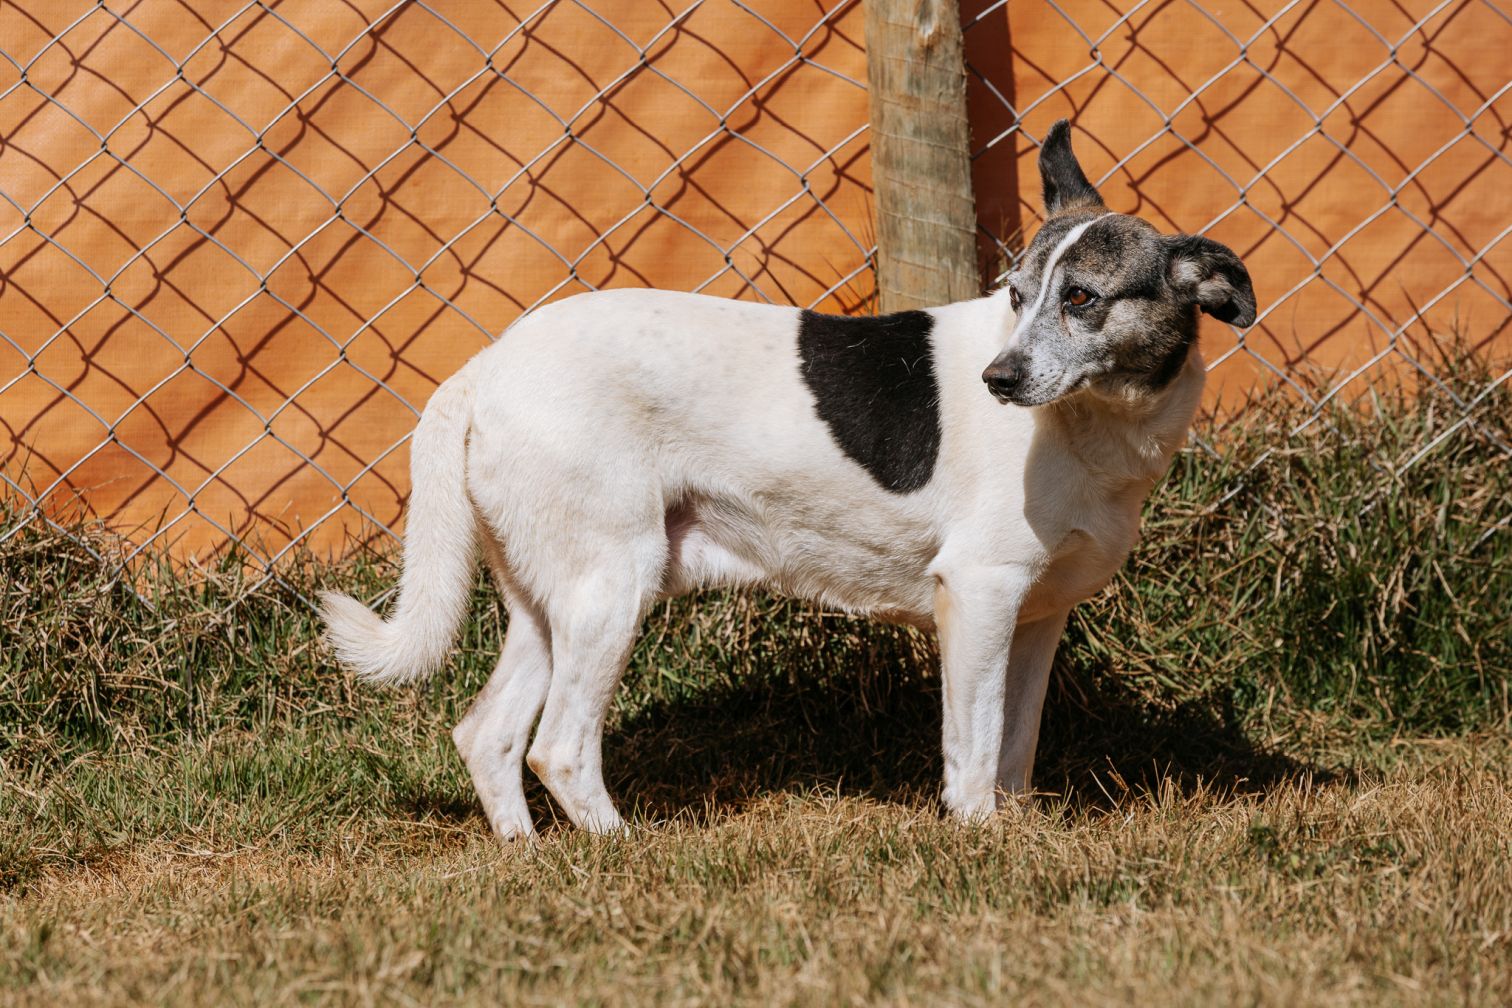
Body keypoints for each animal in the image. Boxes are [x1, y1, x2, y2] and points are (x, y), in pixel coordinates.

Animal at [325, 122, 1257, 840]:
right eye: (1019, 296)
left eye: (1083, 299)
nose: (999, 379)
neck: (1096, 425)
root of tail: (484, 367)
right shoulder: (979, 595)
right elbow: (975, 750)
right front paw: (978, 839)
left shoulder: (1036, 616)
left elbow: (1015, 748)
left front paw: (1020, 836)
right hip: (611, 588)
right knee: (557, 747)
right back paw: (622, 851)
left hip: (550, 597)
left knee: (486, 734)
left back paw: (527, 854)